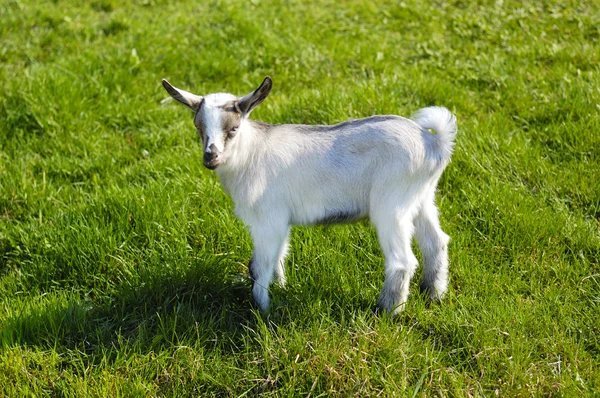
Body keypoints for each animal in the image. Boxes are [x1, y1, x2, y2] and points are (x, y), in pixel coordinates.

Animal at [162, 77, 458, 314]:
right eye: (198, 127)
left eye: (233, 129)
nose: (210, 157)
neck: (250, 153)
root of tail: (434, 143)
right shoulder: (280, 220)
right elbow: (279, 256)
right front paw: (280, 289)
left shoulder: (267, 220)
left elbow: (259, 265)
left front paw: (262, 310)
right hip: (421, 198)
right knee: (436, 242)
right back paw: (433, 295)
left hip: (391, 206)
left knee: (402, 261)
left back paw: (387, 310)